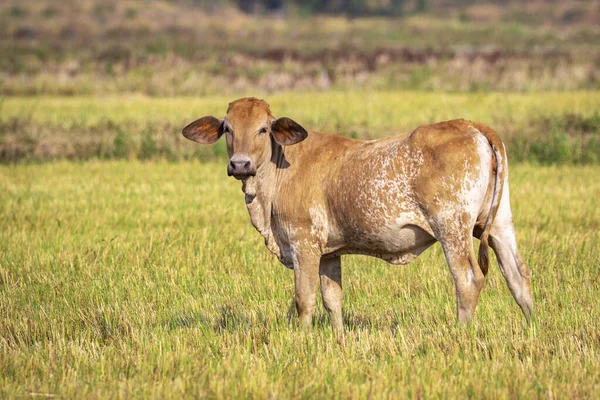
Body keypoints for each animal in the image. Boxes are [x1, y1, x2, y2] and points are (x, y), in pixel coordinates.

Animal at [183, 98, 536, 332]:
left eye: (262, 129)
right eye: (228, 128)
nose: (239, 164)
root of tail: (473, 126)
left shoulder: (303, 244)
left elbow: (304, 298)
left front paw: (301, 340)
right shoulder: (329, 253)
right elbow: (332, 299)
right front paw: (338, 339)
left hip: (452, 227)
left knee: (467, 279)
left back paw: (460, 334)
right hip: (499, 225)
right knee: (518, 276)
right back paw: (533, 328)